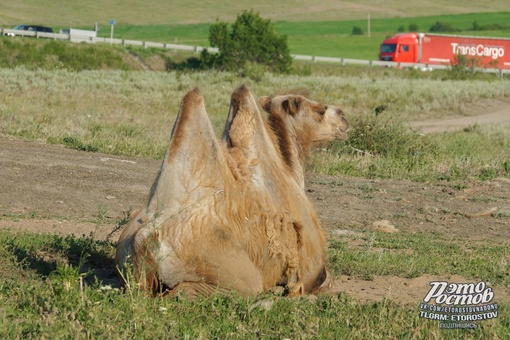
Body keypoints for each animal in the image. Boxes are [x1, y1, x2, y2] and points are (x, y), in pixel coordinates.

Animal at [115, 84, 348, 298]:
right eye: (320, 110)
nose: (344, 117)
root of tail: (145, 239)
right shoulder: (311, 268)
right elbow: (324, 278)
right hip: (233, 274)